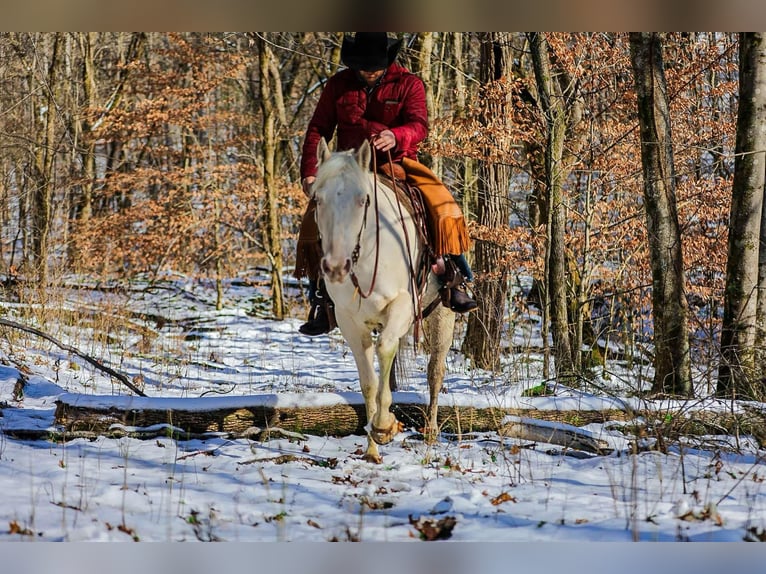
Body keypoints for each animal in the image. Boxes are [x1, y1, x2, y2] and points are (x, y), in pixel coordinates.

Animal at [312, 137, 456, 463]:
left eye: (362, 200)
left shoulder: (403, 307)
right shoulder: (350, 323)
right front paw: (372, 449)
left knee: (435, 372)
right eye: (318, 200)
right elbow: (369, 383)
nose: (336, 267)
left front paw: (384, 426)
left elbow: (387, 349)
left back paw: (431, 433)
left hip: (443, 316)